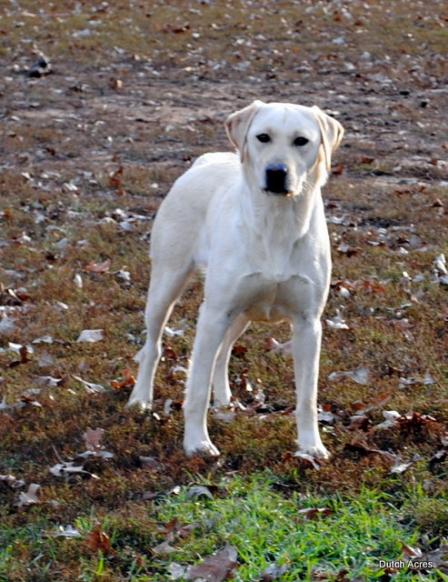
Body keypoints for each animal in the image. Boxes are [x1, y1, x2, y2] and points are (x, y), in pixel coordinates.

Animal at [128, 102, 344, 464]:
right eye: (263, 137)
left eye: (301, 141)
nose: (276, 172)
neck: (276, 223)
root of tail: (205, 160)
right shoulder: (213, 315)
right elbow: (196, 388)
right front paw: (197, 443)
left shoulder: (308, 324)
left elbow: (307, 396)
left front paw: (310, 446)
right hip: (167, 286)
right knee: (153, 347)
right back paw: (140, 399)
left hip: (242, 313)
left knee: (223, 352)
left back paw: (224, 399)